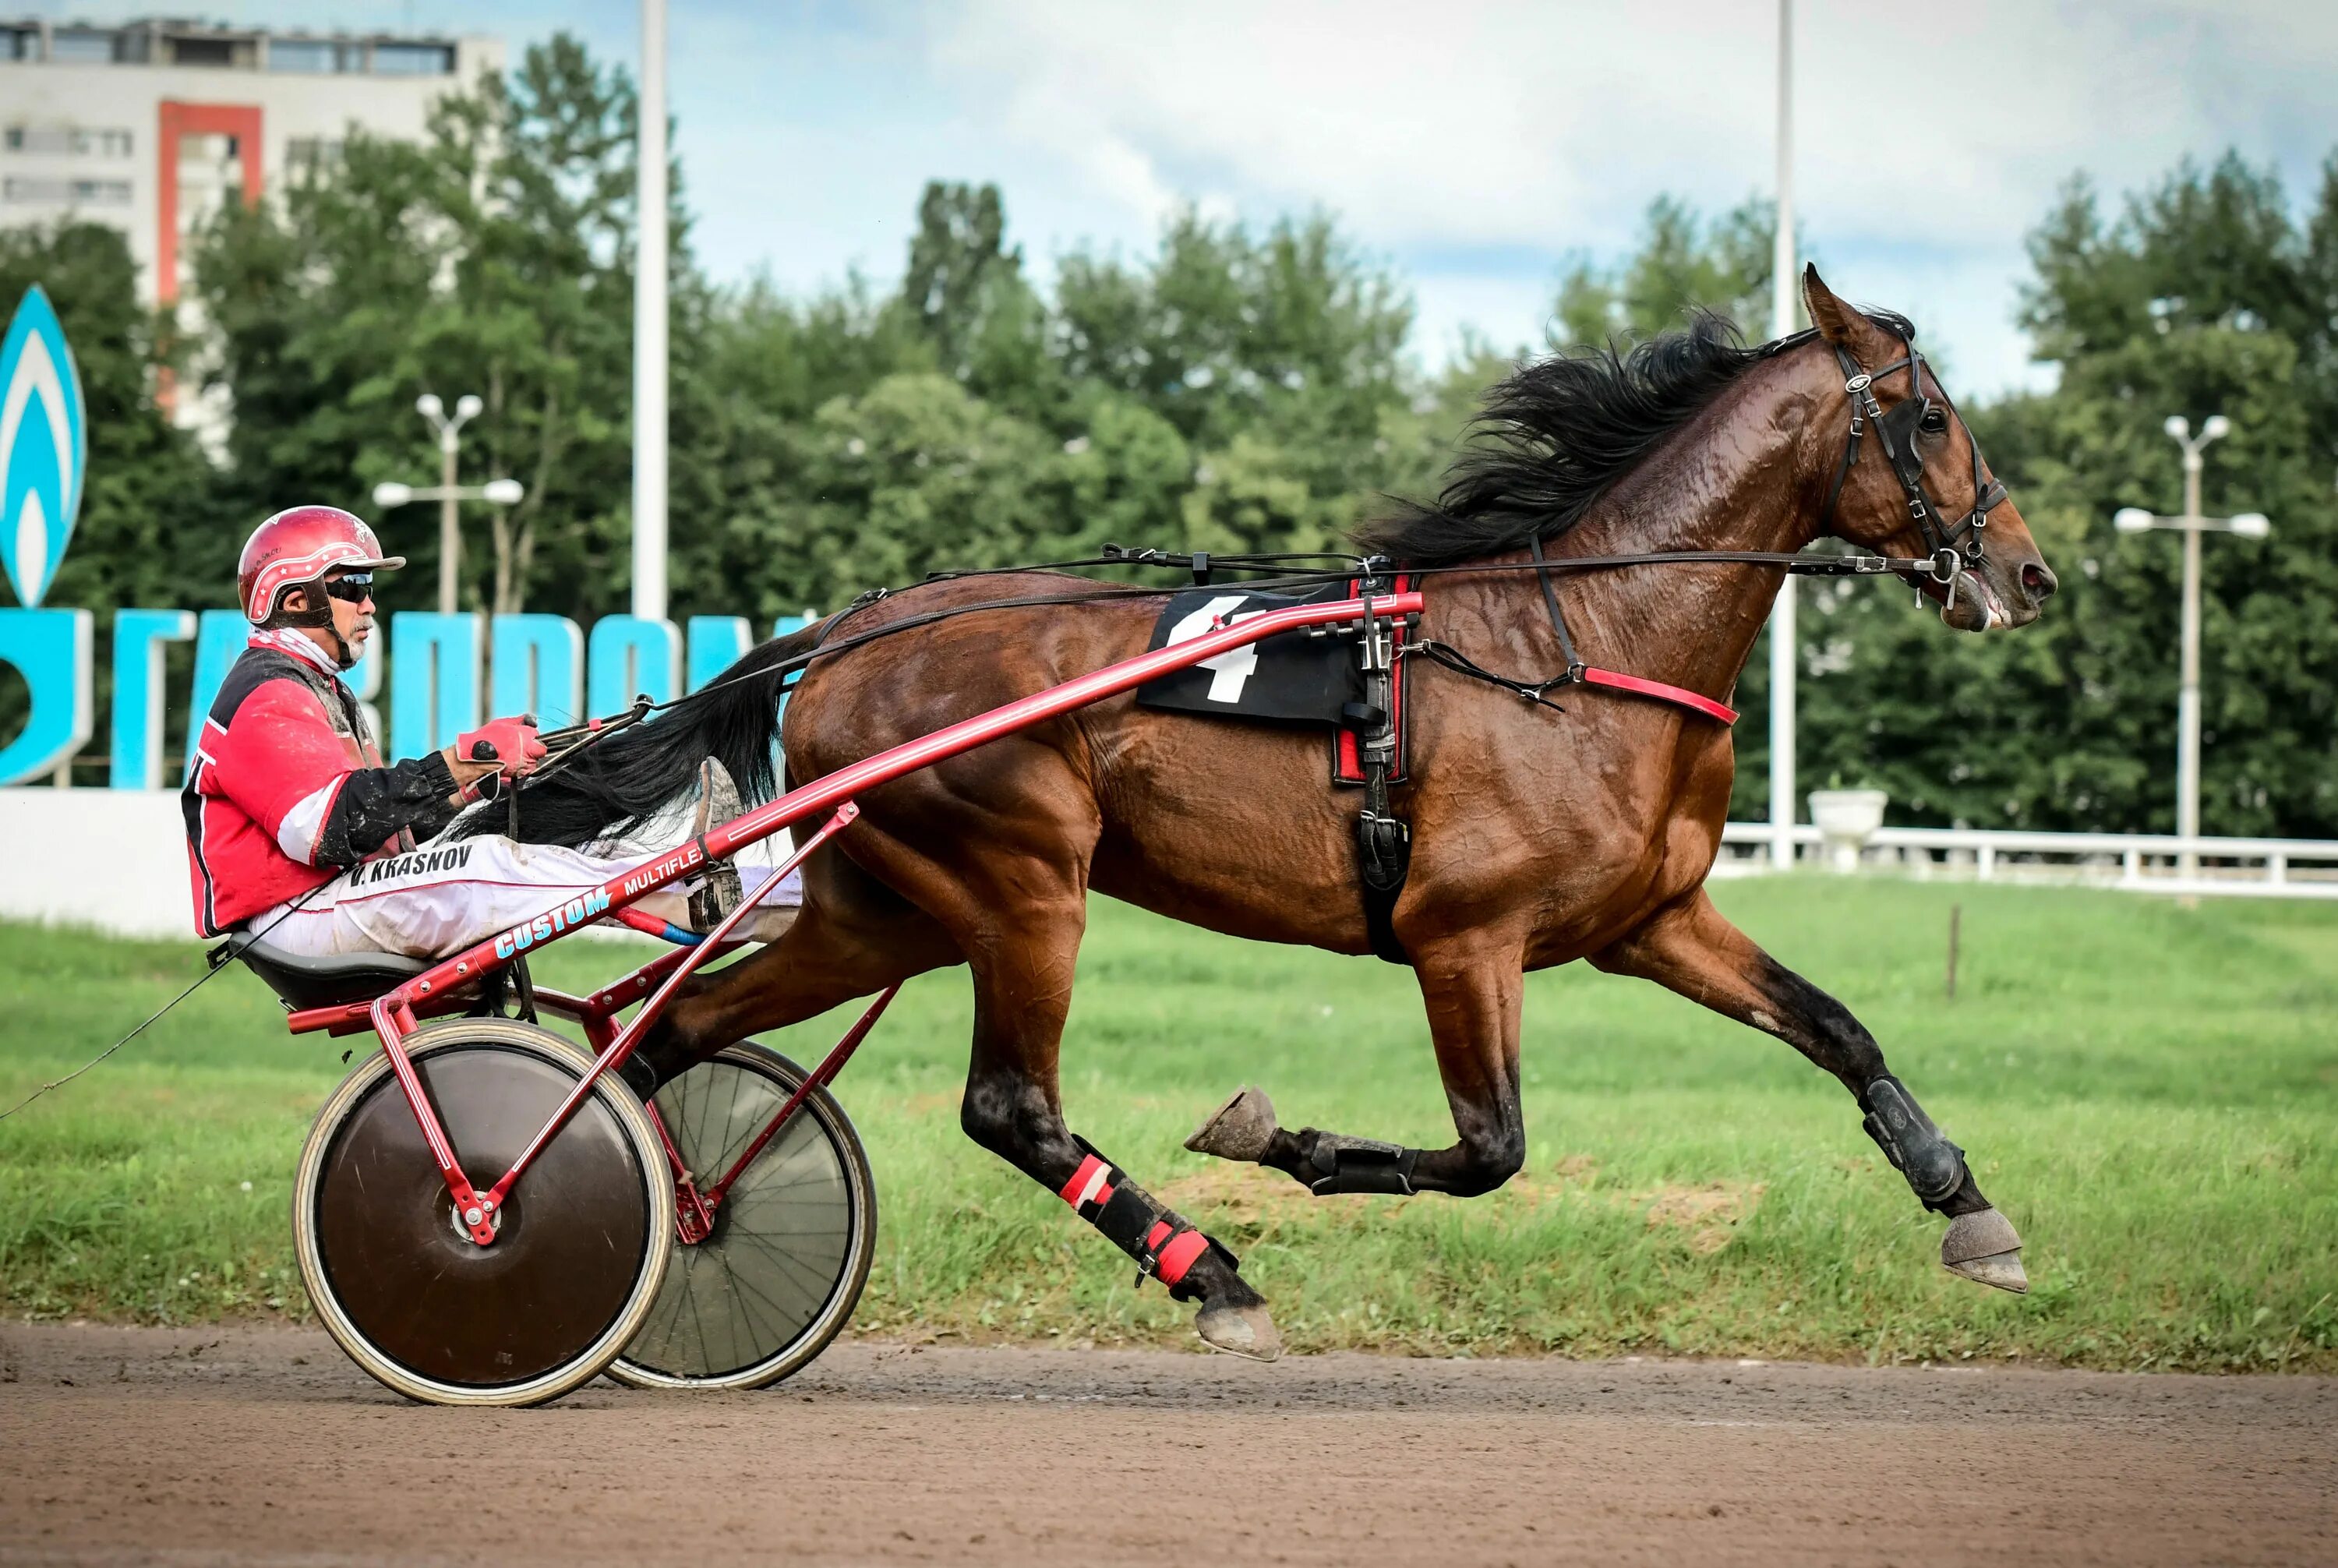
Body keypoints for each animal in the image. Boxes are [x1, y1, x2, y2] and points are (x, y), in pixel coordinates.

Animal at [517, 270, 2067, 1365]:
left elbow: (1836, 1026)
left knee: (676, 1033)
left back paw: (658, 1223)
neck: (1581, 644)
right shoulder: (1461, 936)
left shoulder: (1652, 918)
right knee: (1007, 1105)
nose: (2030, 572)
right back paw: (1209, 1271)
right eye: (1932, 416)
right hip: (1023, 884)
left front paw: (1970, 1208)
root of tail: (842, 637)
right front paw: (1283, 1142)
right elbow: (1491, 1150)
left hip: (886, 906)